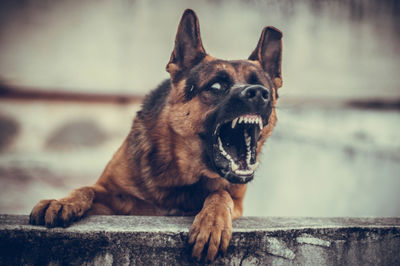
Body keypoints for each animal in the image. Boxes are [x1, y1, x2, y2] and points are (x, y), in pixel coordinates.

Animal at [28, 8, 282, 262]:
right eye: (217, 86)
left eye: (264, 88)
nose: (260, 93)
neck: (182, 175)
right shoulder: (113, 197)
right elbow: (86, 188)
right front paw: (62, 202)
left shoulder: (236, 201)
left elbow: (220, 193)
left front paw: (212, 222)